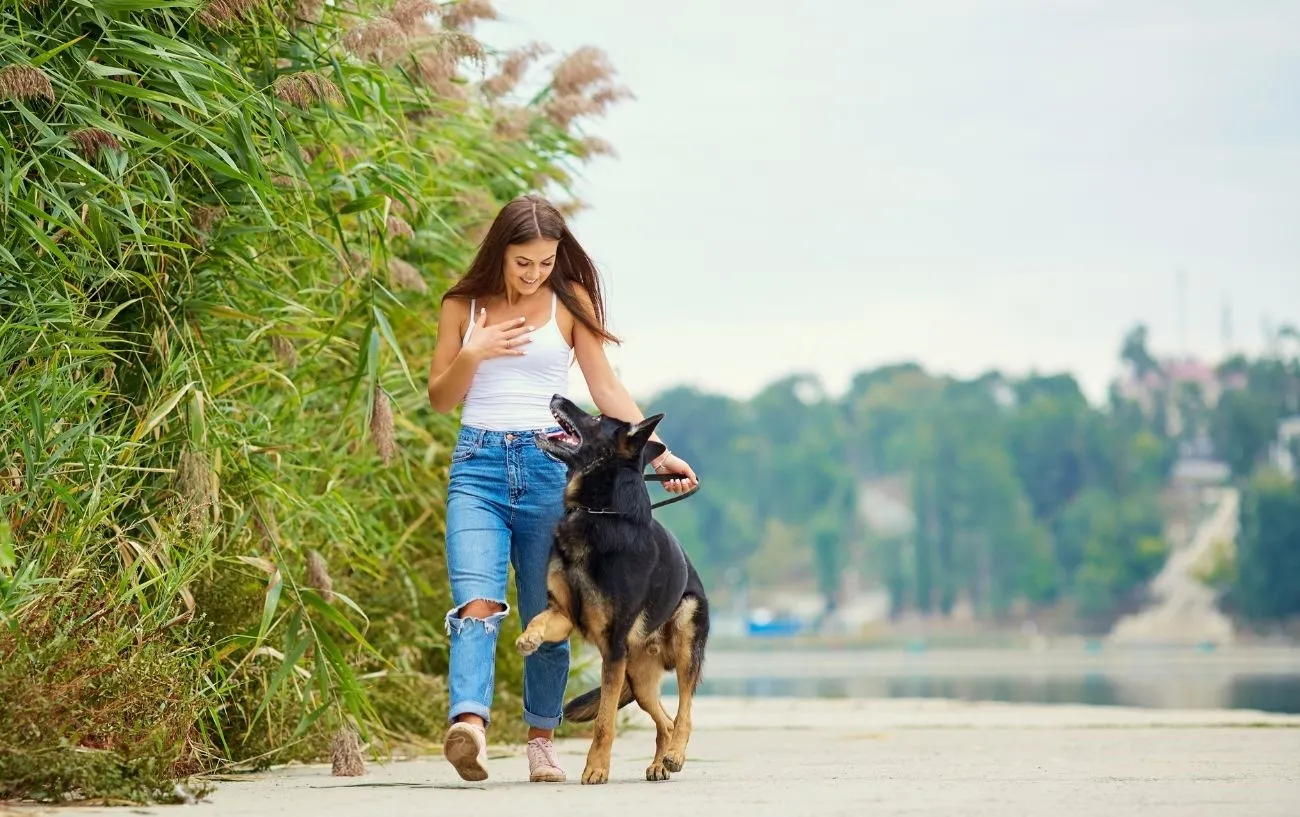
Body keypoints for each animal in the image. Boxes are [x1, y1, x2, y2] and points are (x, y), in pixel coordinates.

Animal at [517, 392, 712, 785]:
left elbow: (605, 721)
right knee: (665, 721)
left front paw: (596, 768)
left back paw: (675, 756)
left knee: (684, 712)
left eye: (595, 418)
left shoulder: (612, 648)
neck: (597, 513)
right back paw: (659, 762)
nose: (556, 395)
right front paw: (529, 638)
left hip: (683, 639)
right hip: (638, 678)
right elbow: (539, 620)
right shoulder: (564, 615)